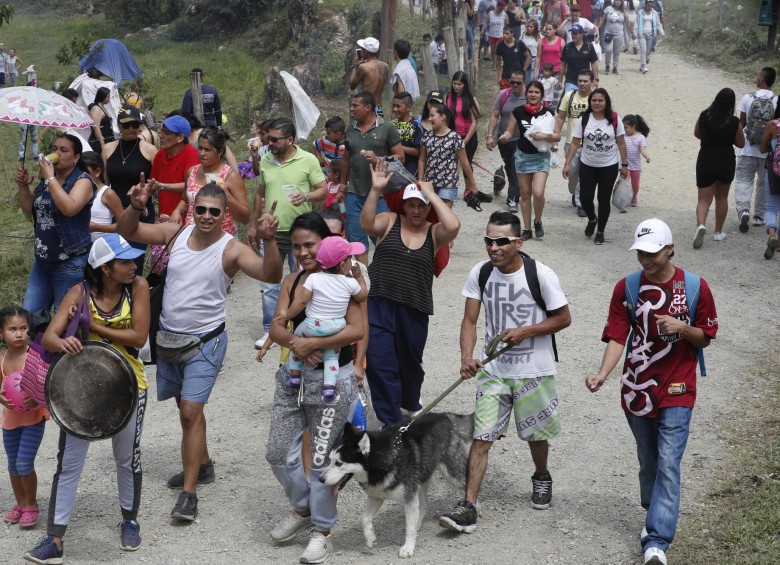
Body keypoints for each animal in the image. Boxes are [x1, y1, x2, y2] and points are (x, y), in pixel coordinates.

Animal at [320, 412, 472, 556]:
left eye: (338, 463)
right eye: (330, 460)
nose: (321, 479)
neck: (386, 459)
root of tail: (444, 415)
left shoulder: (409, 497)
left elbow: (409, 527)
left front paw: (408, 547)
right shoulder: (377, 495)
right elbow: (364, 517)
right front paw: (370, 539)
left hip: (453, 473)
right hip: (421, 477)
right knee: (423, 504)